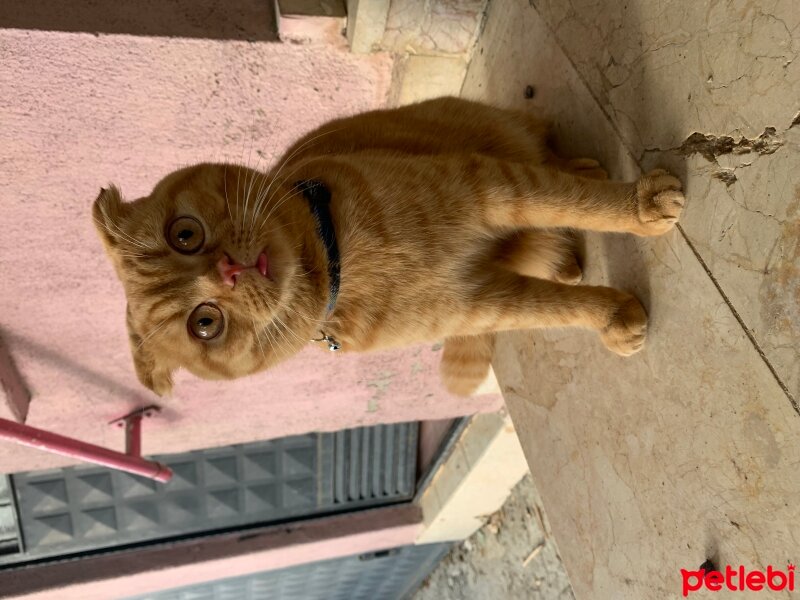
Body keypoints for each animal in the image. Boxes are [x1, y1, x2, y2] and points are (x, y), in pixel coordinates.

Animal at [92, 97, 680, 398]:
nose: (229, 272)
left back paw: (585, 171)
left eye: (184, 233)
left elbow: (576, 201)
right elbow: (557, 311)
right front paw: (613, 318)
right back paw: (566, 264)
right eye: (205, 323)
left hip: (500, 131)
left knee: (551, 157)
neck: (348, 265)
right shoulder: (484, 303)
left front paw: (642, 205)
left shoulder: (492, 187)